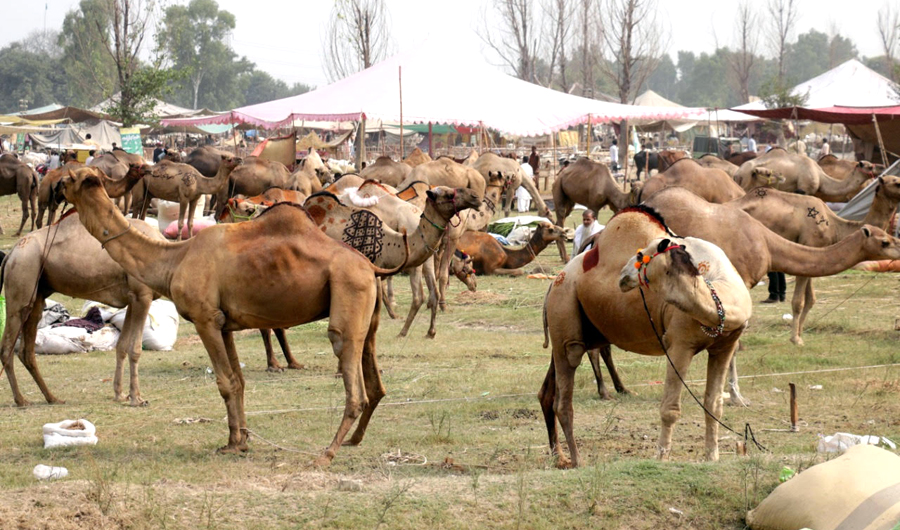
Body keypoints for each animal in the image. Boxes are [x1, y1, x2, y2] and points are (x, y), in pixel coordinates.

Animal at [1, 209, 163, 407]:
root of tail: (11, 254)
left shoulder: (132, 299)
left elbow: (122, 346)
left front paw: (120, 394)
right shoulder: (142, 296)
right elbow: (135, 349)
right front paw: (137, 398)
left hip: (37, 295)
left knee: (26, 350)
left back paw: (52, 397)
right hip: (22, 281)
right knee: (7, 347)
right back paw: (21, 400)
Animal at [61, 166, 406, 465]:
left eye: (68, 178)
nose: (57, 187)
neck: (174, 259)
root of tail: (372, 266)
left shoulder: (205, 319)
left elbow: (225, 383)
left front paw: (235, 442)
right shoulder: (225, 324)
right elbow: (238, 381)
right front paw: (238, 441)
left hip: (349, 290)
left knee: (350, 373)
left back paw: (328, 452)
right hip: (368, 310)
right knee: (374, 378)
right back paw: (353, 440)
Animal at [539, 207, 752, 467]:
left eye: (640, 255)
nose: (623, 275)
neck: (721, 293)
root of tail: (555, 280)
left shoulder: (724, 347)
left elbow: (713, 404)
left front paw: (712, 456)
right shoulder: (680, 344)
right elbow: (670, 409)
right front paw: (662, 456)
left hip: (580, 332)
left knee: (547, 394)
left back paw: (559, 456)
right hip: (565, 307)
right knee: (564, 393)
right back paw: (577, 460)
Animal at [731, 176, 900, 345]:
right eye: (897, 182)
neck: (835, 226)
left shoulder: (813, 255)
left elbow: (811, 299)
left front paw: (799, 334)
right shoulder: (808, 247)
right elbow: (798, 301)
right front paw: (795, 339)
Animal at [734, 149, 876, 201]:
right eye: (869, 167)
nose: (875, 174)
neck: (821, 176)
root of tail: (737, 172)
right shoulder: (804, 189)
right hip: (745, 181)